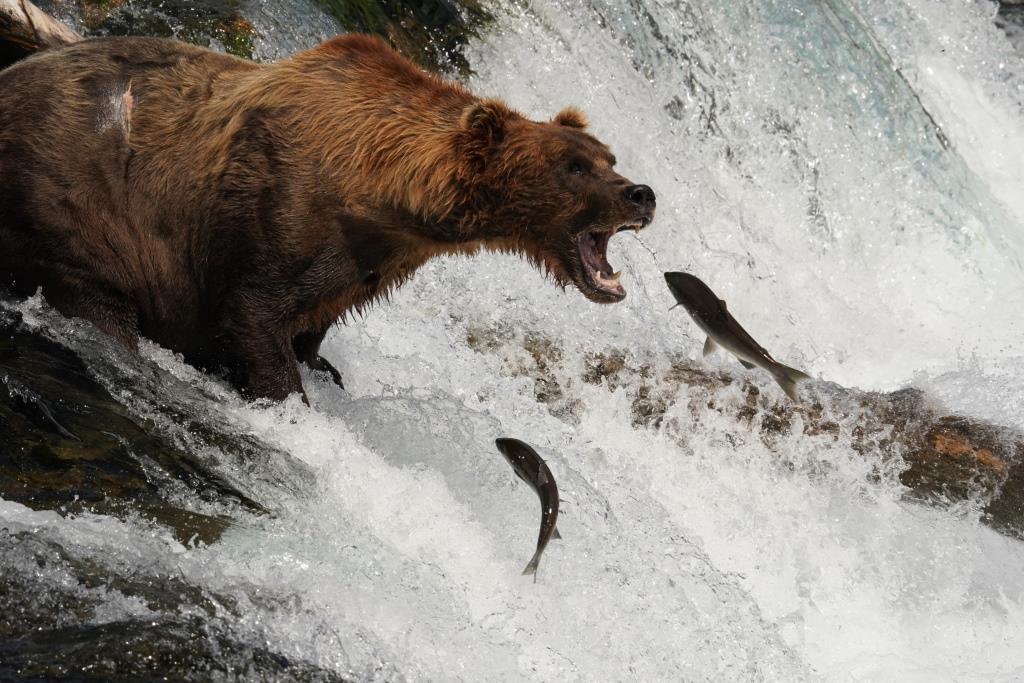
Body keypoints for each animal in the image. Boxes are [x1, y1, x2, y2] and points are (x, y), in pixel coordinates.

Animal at [0, 34, 655, 401]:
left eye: (608, 157)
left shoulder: (364, 265)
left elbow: (313, 325)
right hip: (76, 202)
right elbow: (255, 319)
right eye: (573, 167)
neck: (379, 197)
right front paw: (289, 398)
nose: (641, 194)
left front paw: (322, 369)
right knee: (97, 300)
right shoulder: (272, 212)